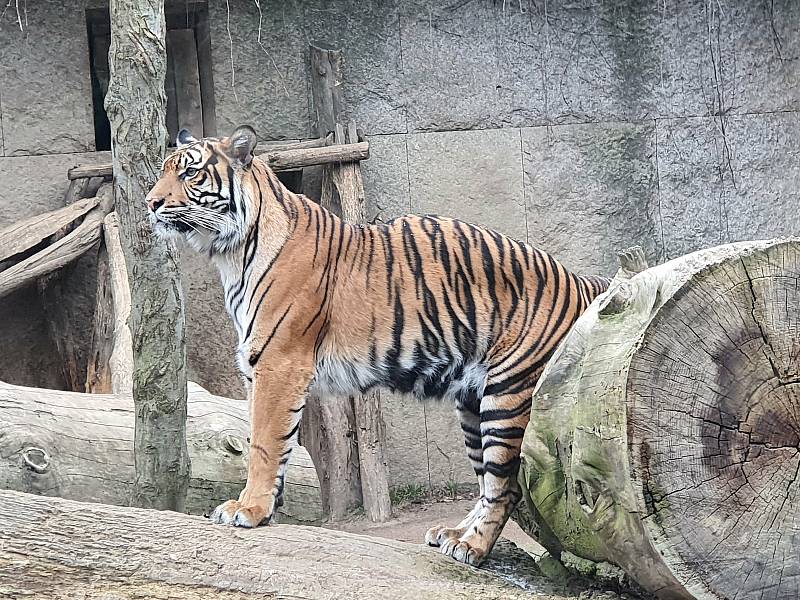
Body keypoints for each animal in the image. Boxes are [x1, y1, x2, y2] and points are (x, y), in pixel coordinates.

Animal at [147, 124, 608, 564]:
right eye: (165, 170)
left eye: (190, 172)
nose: (151, 203)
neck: (232, 251)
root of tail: (581, 282)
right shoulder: (258, 367)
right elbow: (270, 442)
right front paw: (264, 508)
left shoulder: (279, 363)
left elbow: (264, 442)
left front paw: (249, 509)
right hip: (472, 403)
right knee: (488, 483)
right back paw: (453, 534)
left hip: (509, 395)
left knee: (505, 485)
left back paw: (472, 547)